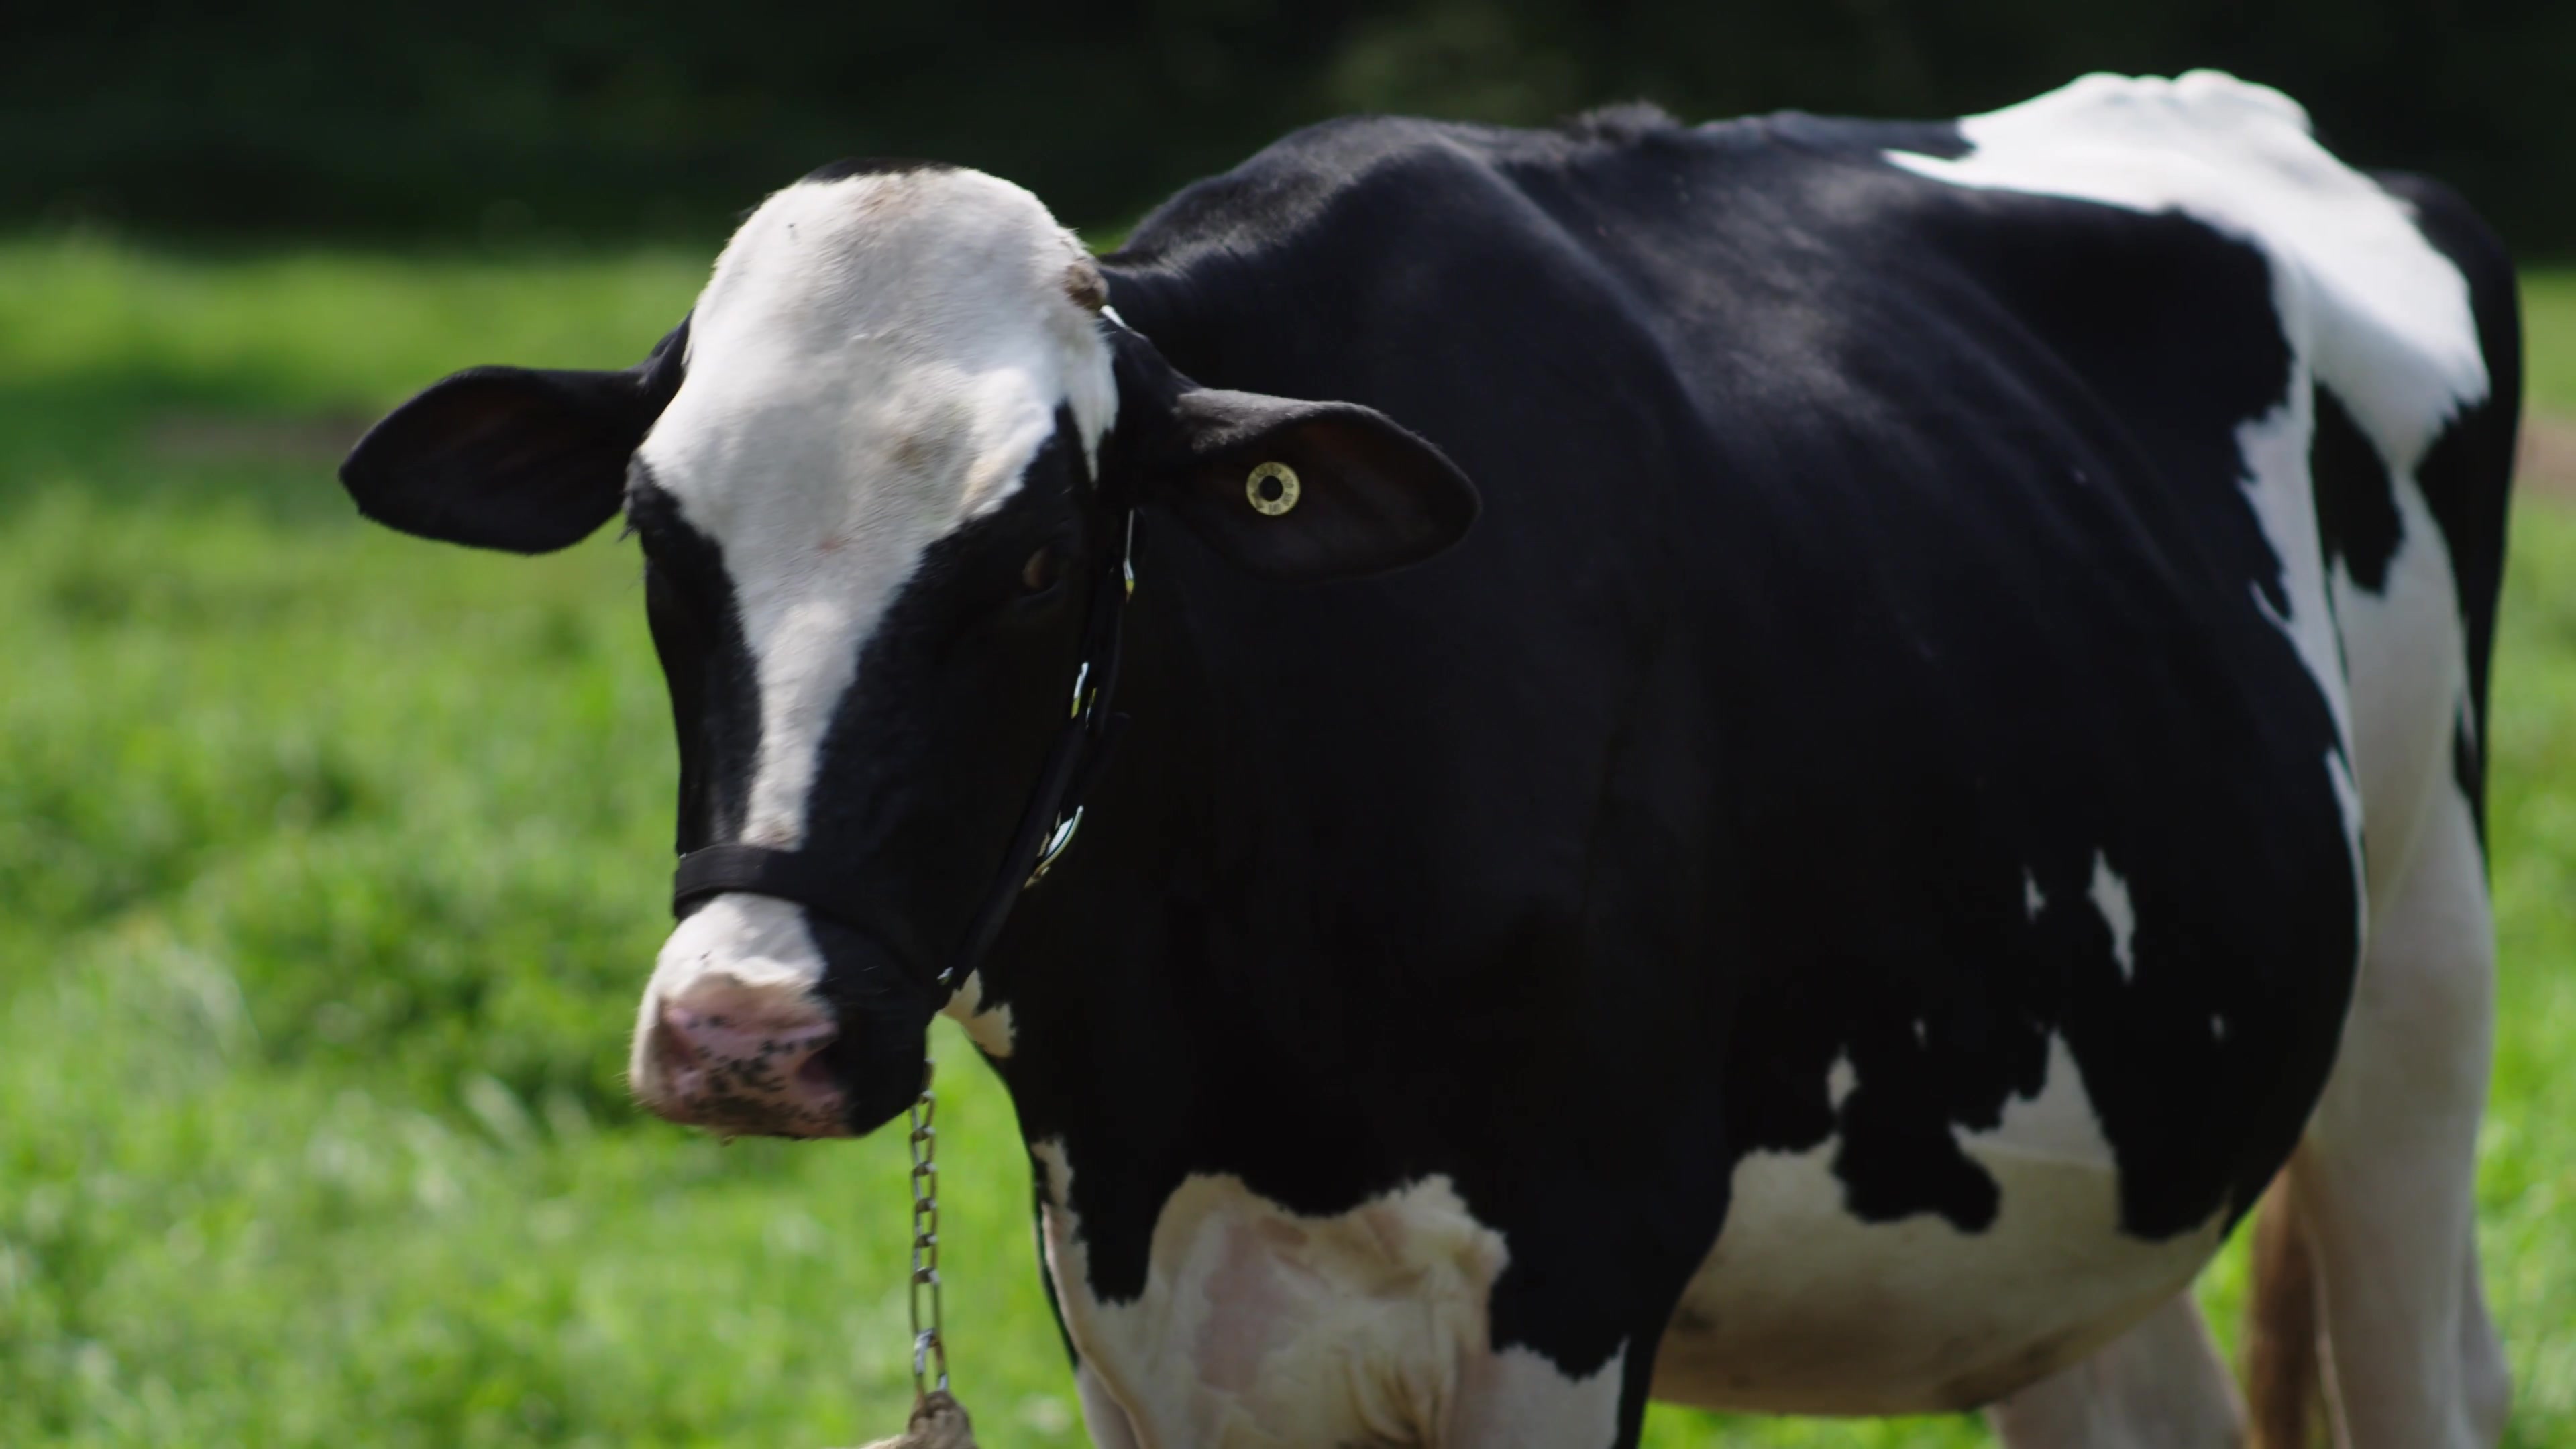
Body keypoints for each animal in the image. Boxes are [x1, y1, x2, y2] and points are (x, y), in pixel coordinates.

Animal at [337, 71, 2518, 1448]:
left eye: (1032, 556)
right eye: (656, 533)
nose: (740, 1034)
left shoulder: (1569, 1277)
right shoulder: (1139, 1310)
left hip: (2419, 991)